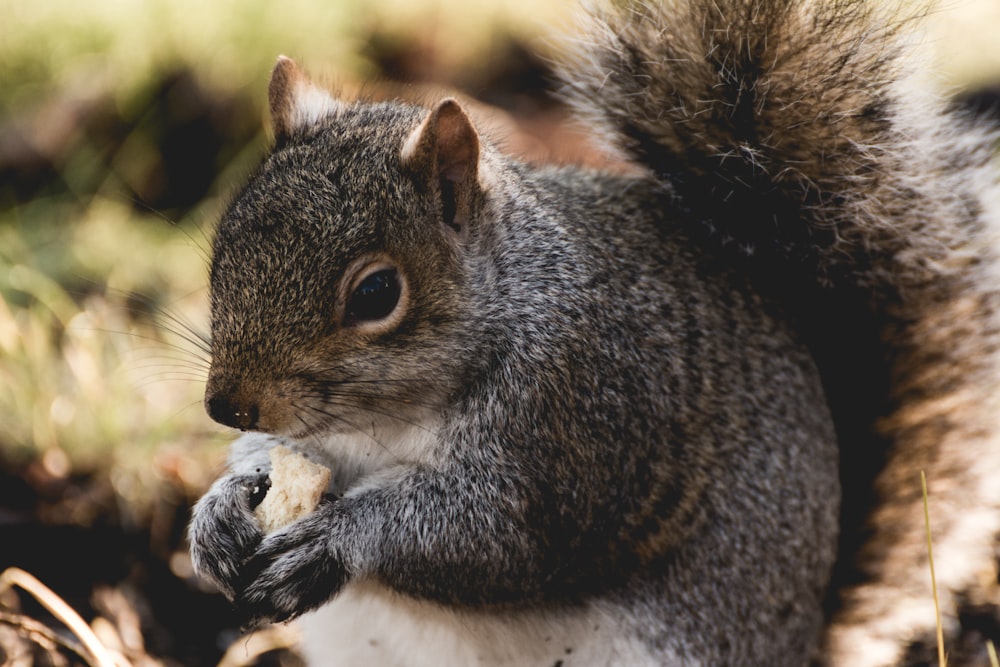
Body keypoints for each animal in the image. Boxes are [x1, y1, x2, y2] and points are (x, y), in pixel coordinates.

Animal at [186, 1, 1000, 667]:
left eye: (378, 292)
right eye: (223, 245)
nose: (228, 405)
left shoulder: (580, 417)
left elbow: (492, 539)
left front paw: (339, 539)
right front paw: (220, 509)